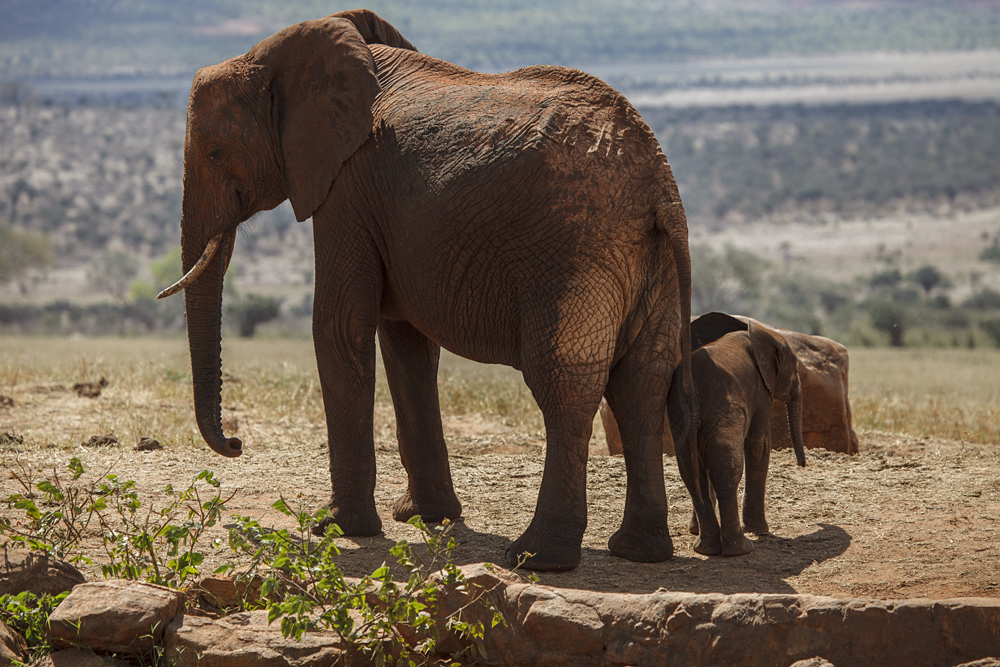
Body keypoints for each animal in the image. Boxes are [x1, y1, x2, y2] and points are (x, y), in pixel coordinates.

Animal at [160, 7, 692, 572]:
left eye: (215, 152)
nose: (237, 443)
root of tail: (660, 187)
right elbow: (407, 345)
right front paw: (423, 518)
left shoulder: (347, 186)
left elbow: (339, 327)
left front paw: (337, 527)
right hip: (647, 262)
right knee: (642, 383)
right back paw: (639, 552)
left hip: (574, 249)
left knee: (565, 384)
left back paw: (535, 558)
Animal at [684, 314, 808, 560]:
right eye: (796, 370)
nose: (802, 464)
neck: (764, 333)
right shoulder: (760, 389)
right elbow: (758, 445)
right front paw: (761, 530)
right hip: (724, 413)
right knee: (725, 470)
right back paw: (740, 549)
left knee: (694, 473)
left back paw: (705, 547)